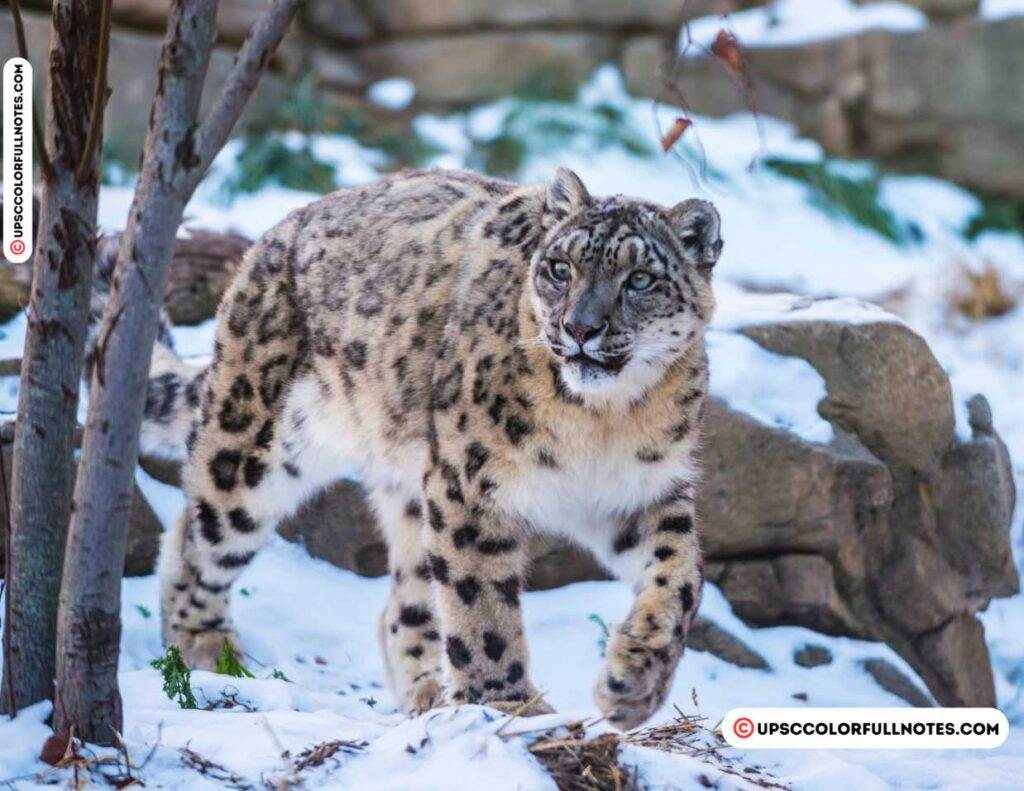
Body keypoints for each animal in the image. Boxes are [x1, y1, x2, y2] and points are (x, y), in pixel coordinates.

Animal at [120, 166, 722, 729]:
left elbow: (680, 579)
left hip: (411, 488)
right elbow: (481, 605)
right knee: (199, 534)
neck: (603, 421)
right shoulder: (472, 484)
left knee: (403, 605)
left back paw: (429, 695)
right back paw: (205, 650)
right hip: (257, 445)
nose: (579, 327)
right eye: (560, 268)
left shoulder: (640, 493)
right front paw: (507, 704)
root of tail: (272, 235)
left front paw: (633, 682)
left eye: (640, 279)